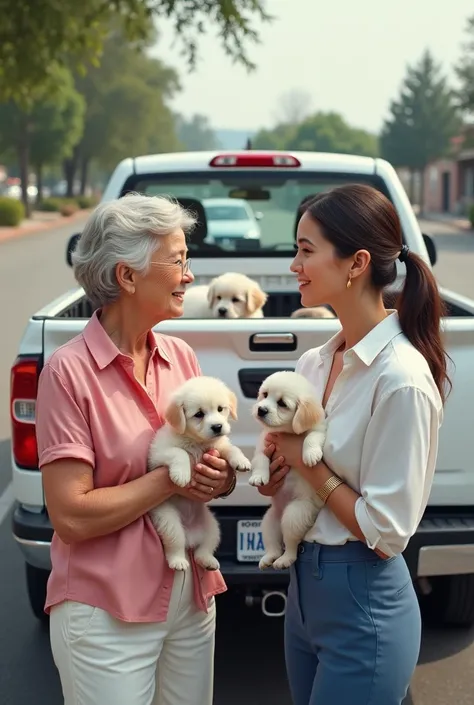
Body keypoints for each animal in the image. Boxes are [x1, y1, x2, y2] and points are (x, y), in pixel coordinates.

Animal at [148, 376, 252, 568]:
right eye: (199, 414)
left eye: (220, 409)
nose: (218, 426)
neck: (197, 442)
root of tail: (190, 537)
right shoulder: (156, 455)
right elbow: (179, 452)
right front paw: (181, 475)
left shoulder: (220, 446)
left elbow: (231, 448)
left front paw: (242, 461)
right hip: (168, 521)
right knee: (175, 543)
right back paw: (178, 561)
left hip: (213, 526)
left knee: (202, 551)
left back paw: (208, 560)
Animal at [248, 372, 326, 568]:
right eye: (265, 394)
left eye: (282, 403)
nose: (261, 409)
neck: (285, 432)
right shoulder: (264, 444)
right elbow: (261, 461)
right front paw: (259, 477)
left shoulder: (319, 430)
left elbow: (311, 438)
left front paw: (310, 454)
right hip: (268, 522)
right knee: (274, 546)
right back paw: (268, 559)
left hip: (294, 515)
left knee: (291, 545)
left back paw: (283, 560)